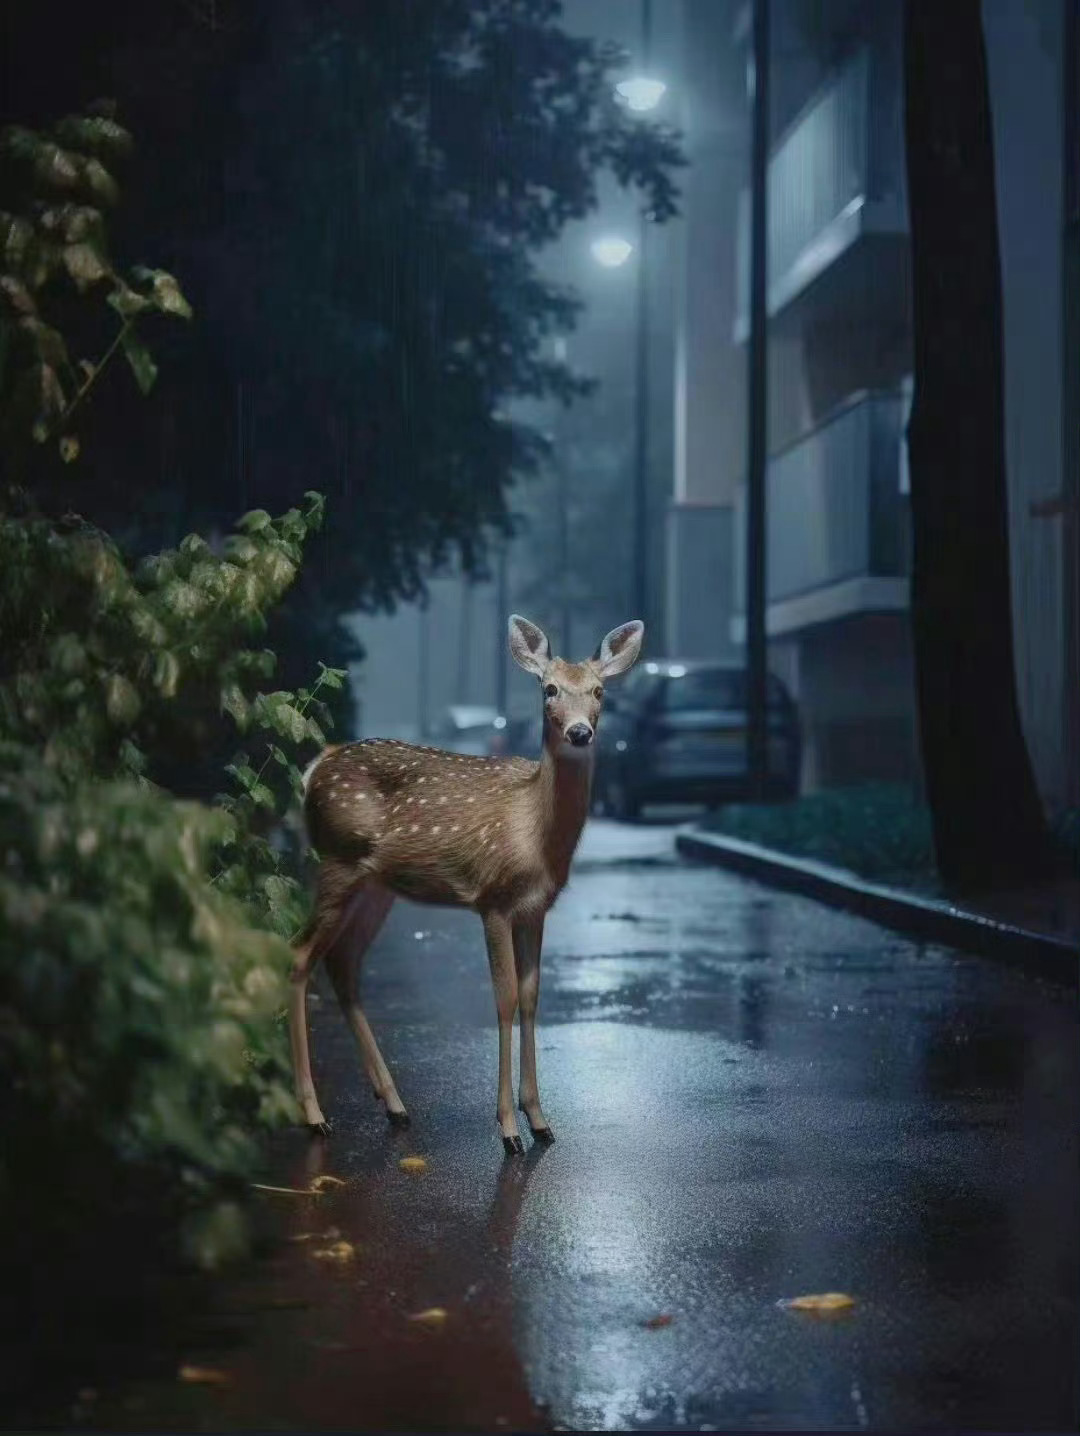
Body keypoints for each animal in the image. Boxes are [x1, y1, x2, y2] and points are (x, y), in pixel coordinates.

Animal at [288, 614, 644, 1154]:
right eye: (549, 689)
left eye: (600, 691)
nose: (580, 732)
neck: (534, 837)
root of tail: (314, 768)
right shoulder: (492, 898)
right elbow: (504, 998)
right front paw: (509, 1129)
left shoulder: (536, 907)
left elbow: (532, 996)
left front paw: (540, 1120)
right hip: (336, 861)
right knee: (298, 954)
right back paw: (313, 1115)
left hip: (375, 886)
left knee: (342, 964)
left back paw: (394, 1105)